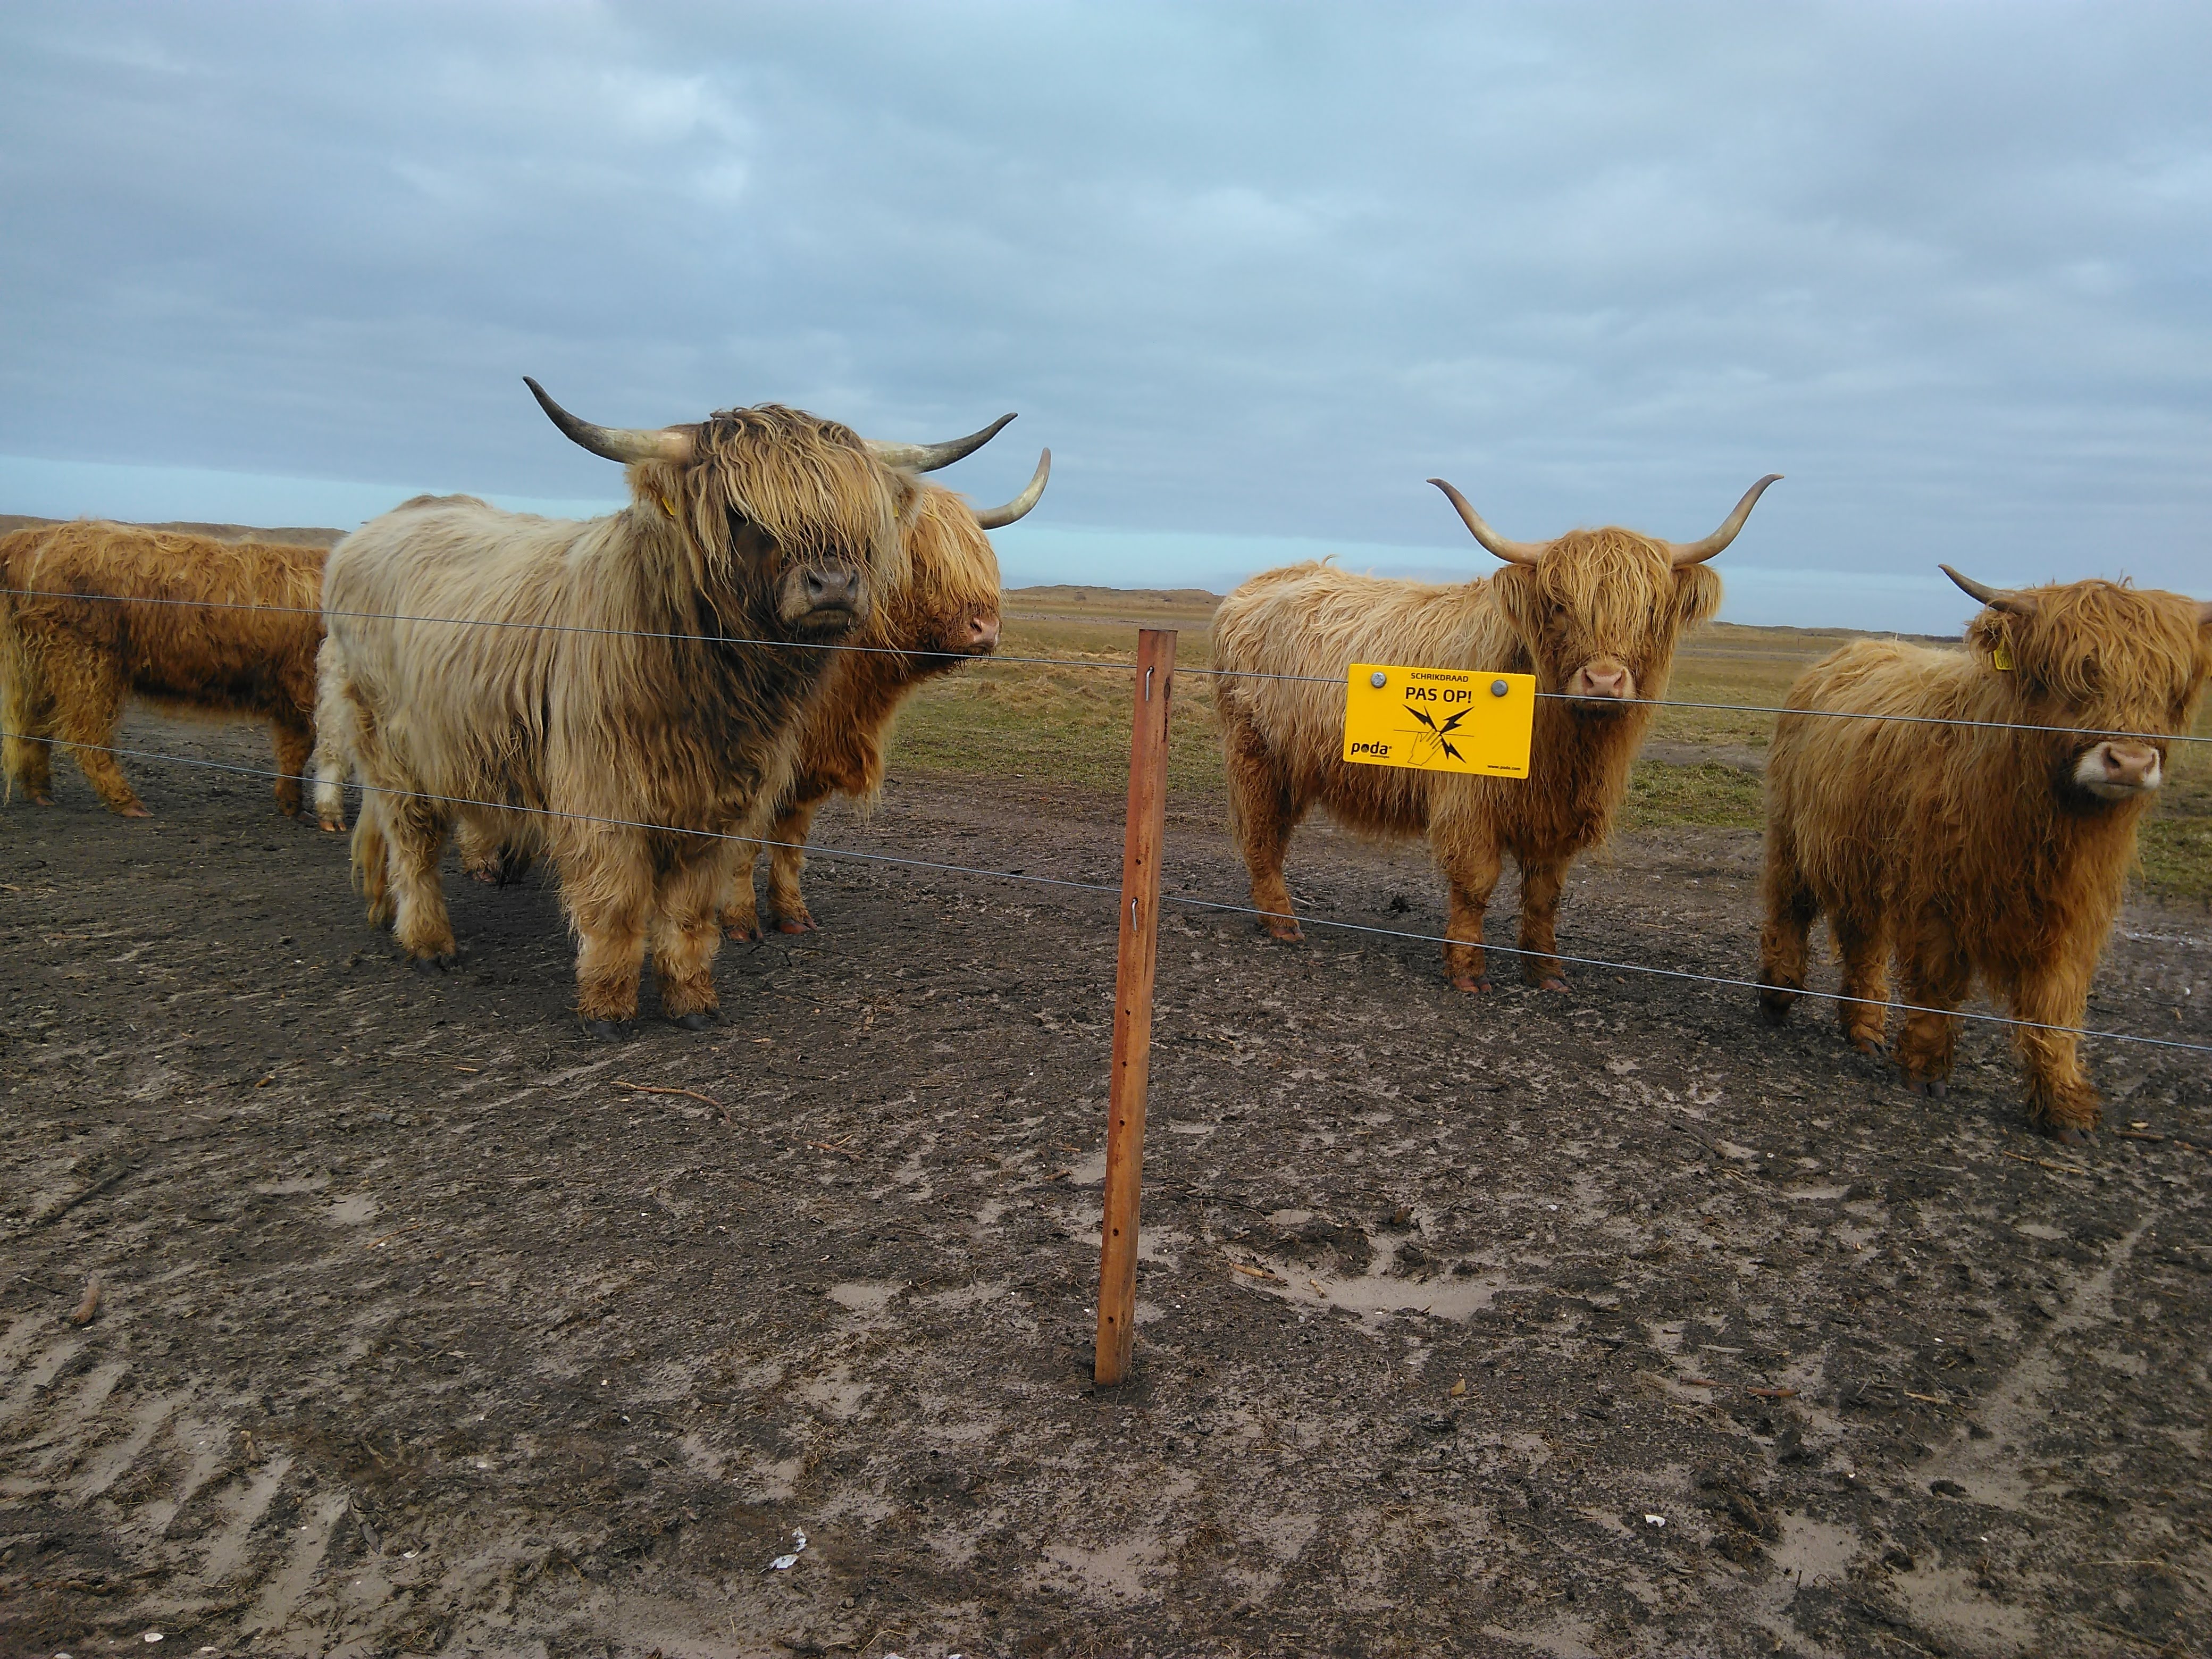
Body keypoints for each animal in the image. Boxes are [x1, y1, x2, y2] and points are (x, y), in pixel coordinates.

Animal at [1, 526, 327, 818]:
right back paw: (128, 803)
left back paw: (41, 794)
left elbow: (295, 751)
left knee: (33, 728)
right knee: (87, 735)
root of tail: (34, 537)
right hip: (86, 662)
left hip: (43, 668)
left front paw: (292, 805)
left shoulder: (293, 696)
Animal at [321, 382, 1013, 1035]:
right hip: (389, 742)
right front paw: (607, 1009)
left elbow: (692, 906)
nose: (835, 585)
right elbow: (618, 903)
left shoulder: (728, 796)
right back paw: (428, 942)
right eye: (740, 512)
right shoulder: (602, 794)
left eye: (860, 516)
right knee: (412, 838)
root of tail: (371, 531)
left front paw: (692, 1000)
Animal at [1752, 571, 2203, 1141]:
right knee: (1790, 906)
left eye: (2170, 687)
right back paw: (1778, 994)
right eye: (2069, 675)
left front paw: (2065, 1105)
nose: (2130, 762)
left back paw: (1864, 1027)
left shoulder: (2073, 912)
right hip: (1794, 835)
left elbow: (2057, 1003)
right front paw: (1925, 1071)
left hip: (1861, 854)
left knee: (1863, 937)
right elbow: (1938, 981)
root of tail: (1851, 652)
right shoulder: (1935, 893)